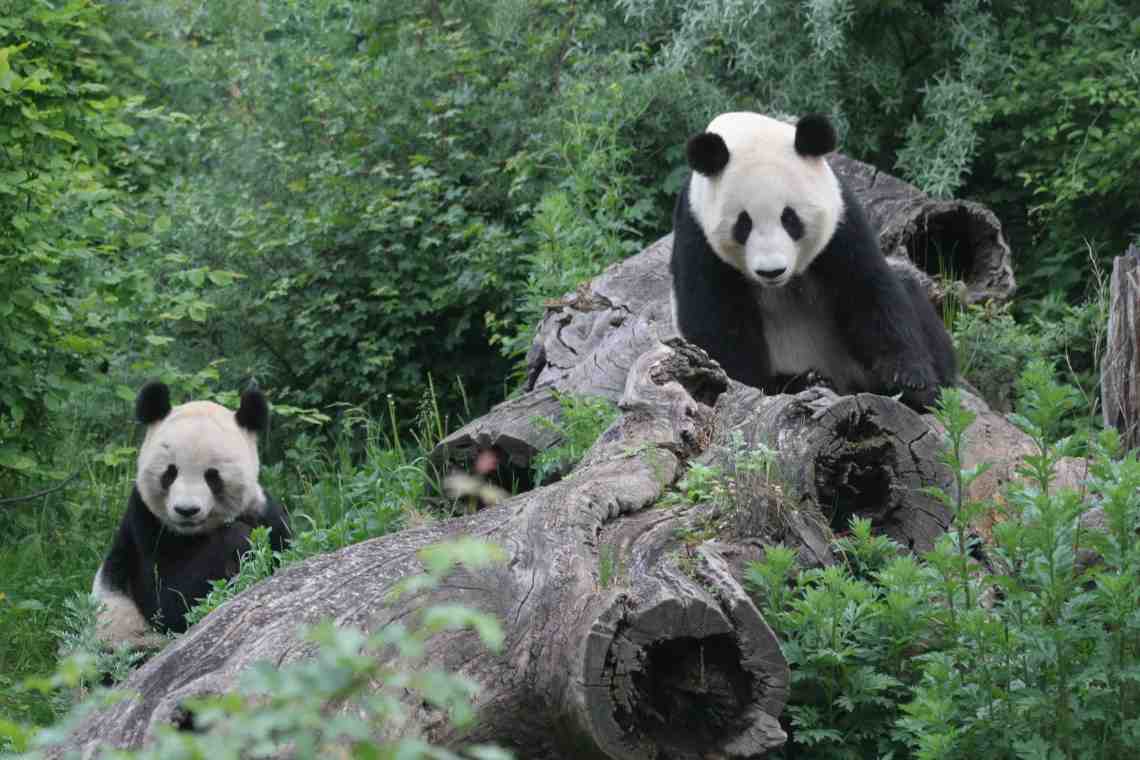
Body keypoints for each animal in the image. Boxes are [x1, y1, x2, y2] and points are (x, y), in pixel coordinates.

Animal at [93, 382, 289, 651]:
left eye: (212, 476)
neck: (193, 534)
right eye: (170, 473)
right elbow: (170, 601)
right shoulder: (146, 526)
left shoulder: (261, 513)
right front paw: (239, 540)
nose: (186, 510)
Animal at [670, 111, 957, 410]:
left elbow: (867, 290)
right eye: (743, 224)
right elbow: (717, 321)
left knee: (909, 288)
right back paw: (804, 380)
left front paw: (912, 379)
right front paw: (751, 384)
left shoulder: (842, 216)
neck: (744, 128)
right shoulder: (696, 231)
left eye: (790, 218)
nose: (772, 271)